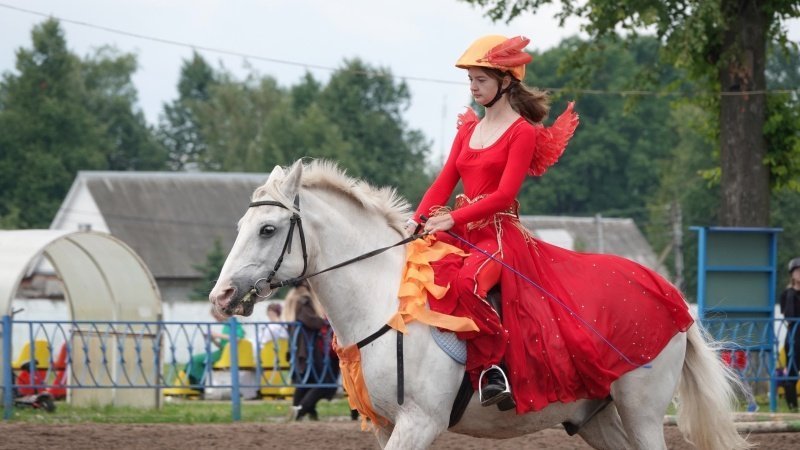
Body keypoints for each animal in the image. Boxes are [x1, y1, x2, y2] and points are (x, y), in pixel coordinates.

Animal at [211, 160, 752, 448]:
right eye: (239, 226)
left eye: (267, 229)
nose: (221, 298)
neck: (385, 303)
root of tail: (671, 295)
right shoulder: (386, 427)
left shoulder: (418, 423)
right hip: (595, 416)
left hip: (641, 411)